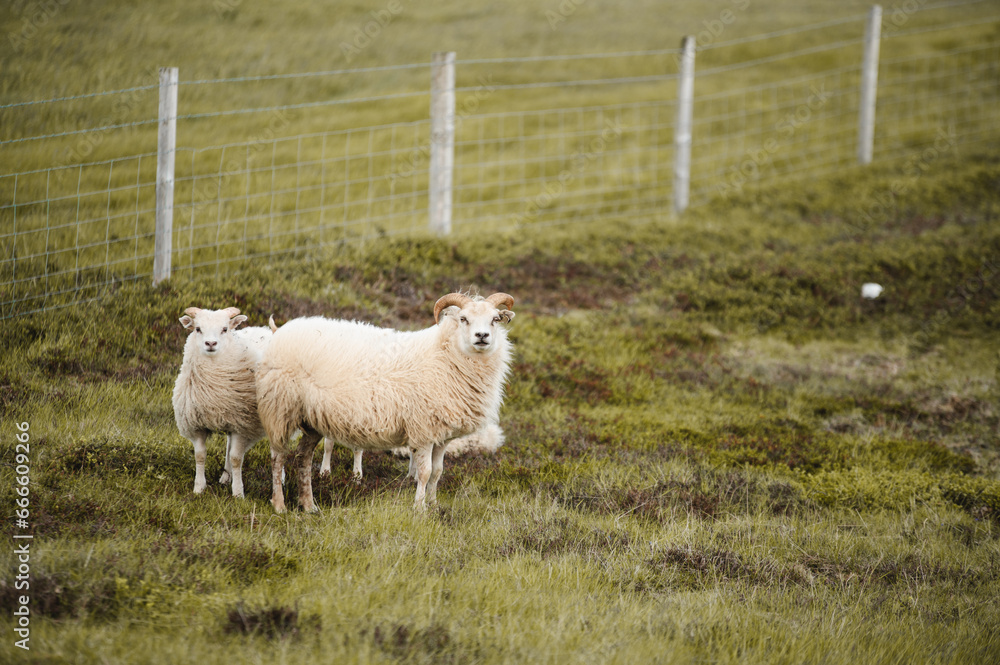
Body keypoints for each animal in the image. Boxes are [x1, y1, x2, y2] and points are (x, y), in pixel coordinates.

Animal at [172, 306, 274, 498]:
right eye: (198, 329)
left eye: (225, 329)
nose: (211, 343)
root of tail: (265, 330)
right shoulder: (198, 425)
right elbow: (200, 455)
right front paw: (199, 488)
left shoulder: (242, 426)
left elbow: (236, 458)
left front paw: (238, 493)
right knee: (228, 445)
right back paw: (225, 478)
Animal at [256, 292, 515, 513]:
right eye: (463, 319)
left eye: (495, 319)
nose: (482, 337)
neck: (445, 356)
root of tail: (280, 331)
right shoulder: (423, 430)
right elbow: (424, 472)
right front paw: (419, 508)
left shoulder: (442, 435)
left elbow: (438, 472)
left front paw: (433, 504)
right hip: (280, 407)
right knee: (278, 457)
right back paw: (279, 505)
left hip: (310, 420)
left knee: (303, 457)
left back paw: (309, 505)